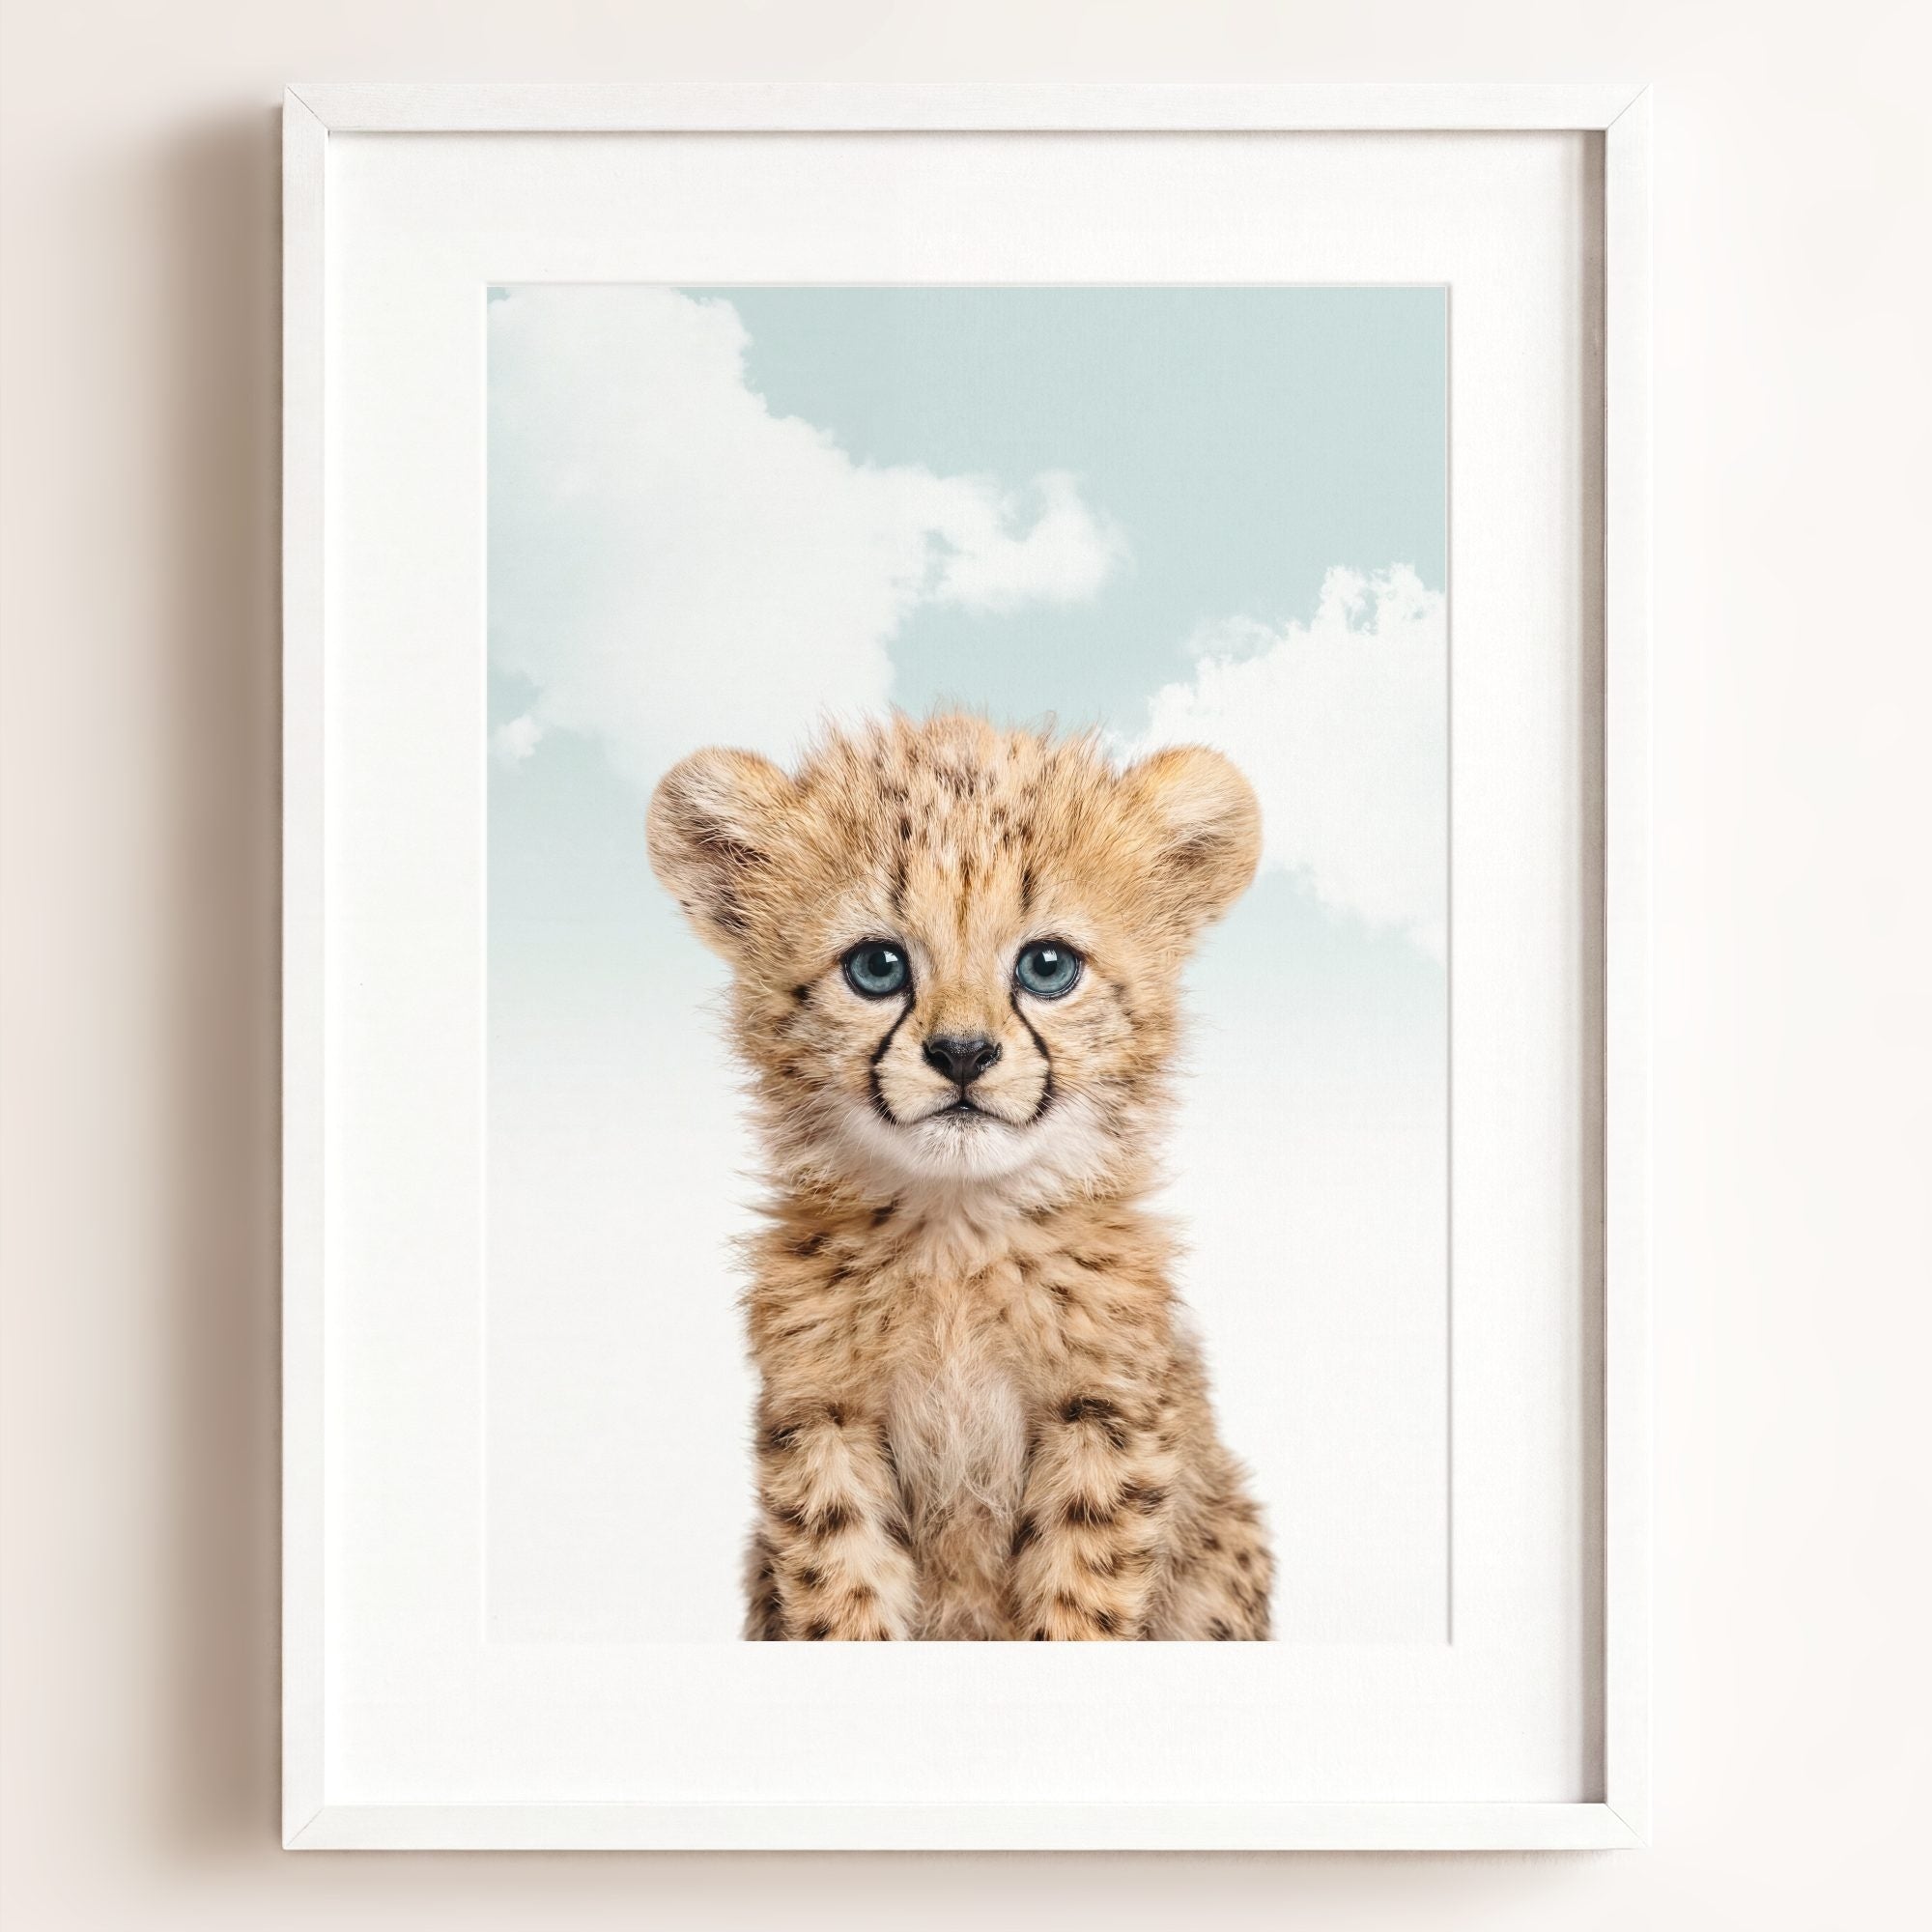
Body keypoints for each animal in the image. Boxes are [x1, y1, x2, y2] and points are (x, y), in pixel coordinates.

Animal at [647, 711, 1273, 1639]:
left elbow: (1081, 1597)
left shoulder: (1105, 1415)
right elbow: (842, 1593)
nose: (963, 1054)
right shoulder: (823, 1419)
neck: (957, 1232)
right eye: (877, 966)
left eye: (1047, 966)